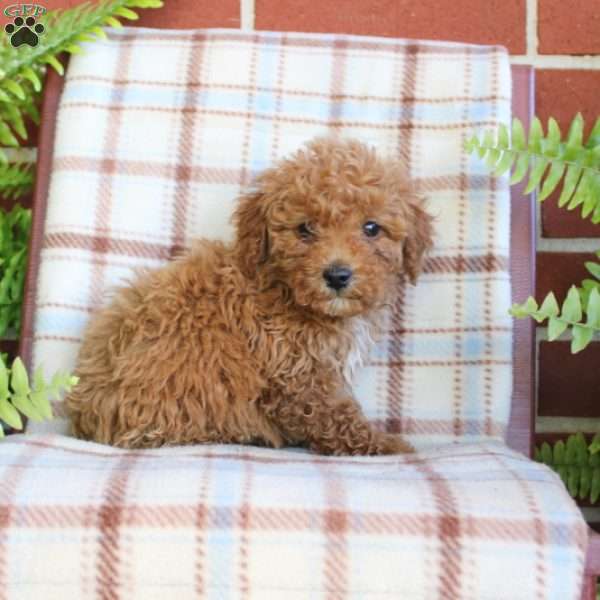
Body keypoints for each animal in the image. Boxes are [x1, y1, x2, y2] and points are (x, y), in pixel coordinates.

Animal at [64, 137, 432, 454]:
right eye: (304, 229)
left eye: (371, 228)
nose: (337, 275)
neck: (289, 293)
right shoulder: (296, 374)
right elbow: (334, 416)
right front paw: (383, 445)